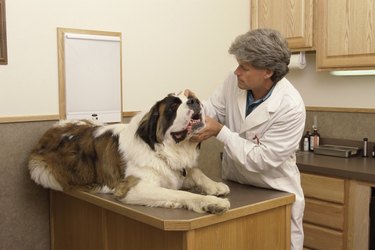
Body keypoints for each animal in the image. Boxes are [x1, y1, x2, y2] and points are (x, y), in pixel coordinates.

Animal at [27, 91, 231, 214]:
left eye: (190, 97)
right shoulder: (134, 188)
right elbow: (180, 193)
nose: (195, 101)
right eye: (173, 107)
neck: (162, 150)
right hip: (42, 172)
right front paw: (211, 202)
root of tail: (53, 128)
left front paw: (215, 186)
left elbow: (194, 171)